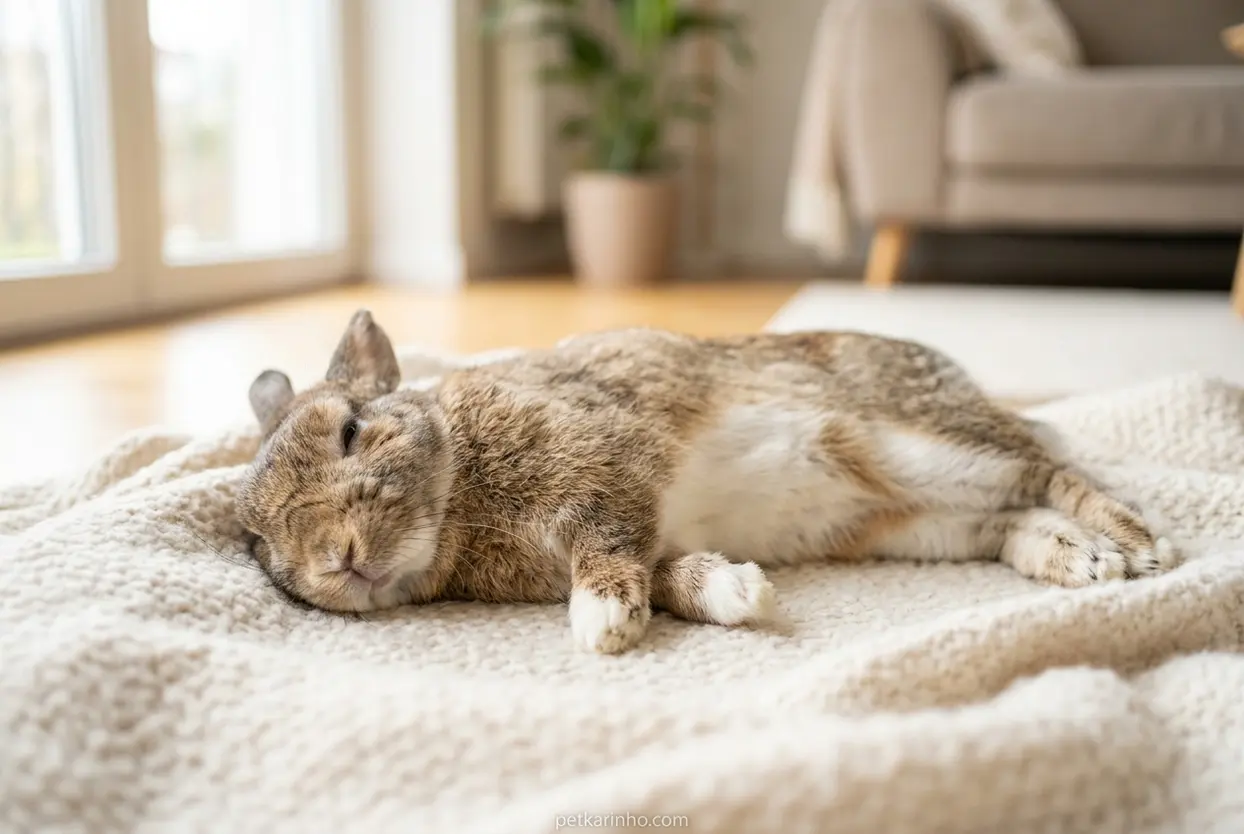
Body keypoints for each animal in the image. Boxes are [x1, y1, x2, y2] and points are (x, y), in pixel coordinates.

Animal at [235, 309, 1181, 654]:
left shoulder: (606, 464)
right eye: (261, 543)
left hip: (924, 446)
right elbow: (668, 572)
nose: (334, 559)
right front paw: (738, 593)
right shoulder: (649, 529)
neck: (458, 486)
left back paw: (1143, 548)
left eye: (353, 430)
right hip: (915, 523)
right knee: (1008, 516)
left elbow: (607, 543)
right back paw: (1079, 562)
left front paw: (602, 625)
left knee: (1047, 464)